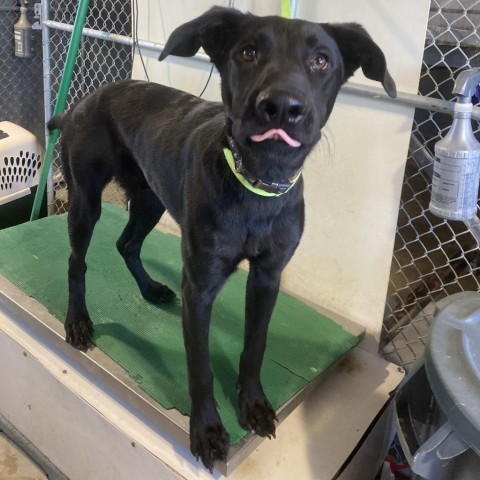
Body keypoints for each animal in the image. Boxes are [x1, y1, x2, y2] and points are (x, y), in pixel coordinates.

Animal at [48, 6, 396, 472]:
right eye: (248, 52)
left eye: (321, 60)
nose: (281, 107)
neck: (258, 185)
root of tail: (82, 102)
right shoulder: (201, 286)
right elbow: (200, 366)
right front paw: (208, 431)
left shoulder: (267, 277)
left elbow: (256, 345)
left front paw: (253, 404)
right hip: (86, 201)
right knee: (77, 261)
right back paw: (78, 322)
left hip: (151, 198)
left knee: (127, 244)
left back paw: (151, 289)